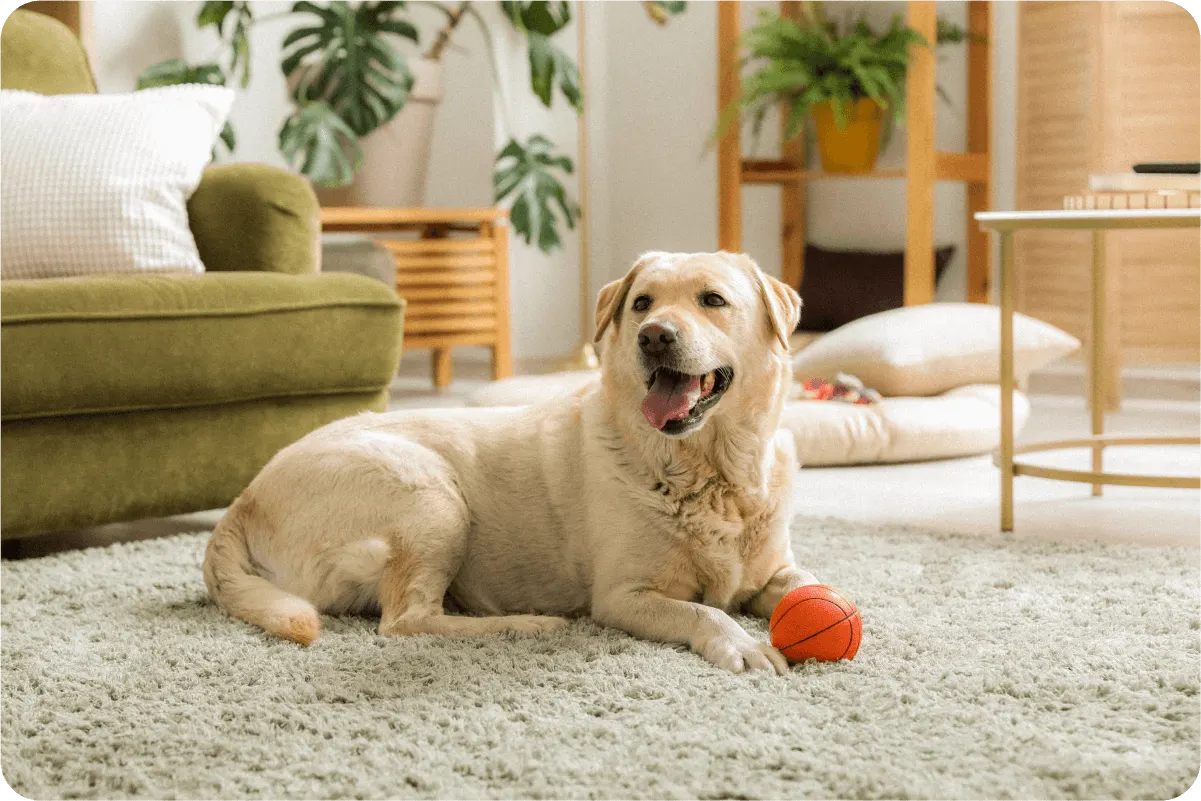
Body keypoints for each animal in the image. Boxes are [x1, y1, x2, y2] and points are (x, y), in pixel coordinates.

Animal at [208, 248, 826, 672]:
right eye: (642, 303)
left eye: (713, 300)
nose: (653, 336)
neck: (713, 472)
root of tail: (244, 498)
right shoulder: (622, 596)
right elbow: (704, 610)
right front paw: (744, 643)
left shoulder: (776, 569)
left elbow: (809, 584)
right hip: (431, 496)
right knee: (406, 621)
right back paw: (527, 623)